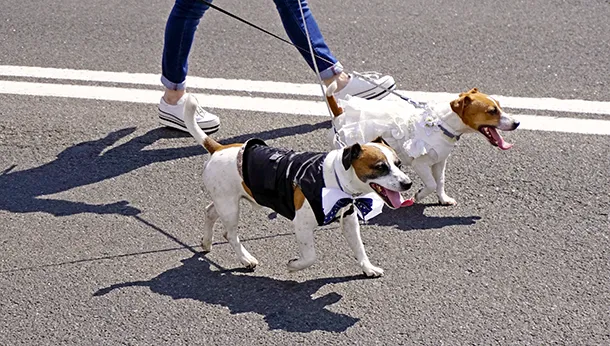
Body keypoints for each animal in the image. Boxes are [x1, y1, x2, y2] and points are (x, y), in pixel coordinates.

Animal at [180, 94, 408, 276]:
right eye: (380, 167)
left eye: (399, 164)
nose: (408, 183)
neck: (334, 178)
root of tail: (218, 147)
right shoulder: (302, 225)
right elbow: (310, 256)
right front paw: (294, 266)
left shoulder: (350, 221)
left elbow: (359, 248)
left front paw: (368, 268)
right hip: (229, 207)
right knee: (230, 234)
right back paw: (246, 259)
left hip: (225, 200)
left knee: (210, 212)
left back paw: (207, 242)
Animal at [328, 86, 516, 205]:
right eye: (492, 111)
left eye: (500, 106)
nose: (517, 123)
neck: (441, 125)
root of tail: (340, 112)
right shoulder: (421, 164)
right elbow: (431, 184)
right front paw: (419, 195)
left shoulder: (440, 162)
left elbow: (440, 182)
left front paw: (443, 199)